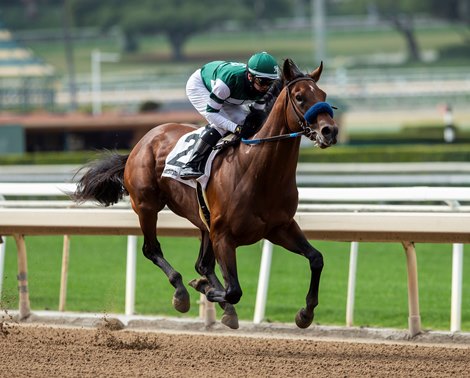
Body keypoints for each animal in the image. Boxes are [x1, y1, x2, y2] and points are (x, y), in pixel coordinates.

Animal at [72, 58, 338, 328]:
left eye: (323, 95)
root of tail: (141, 143)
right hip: (147, 206)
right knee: (152, 250)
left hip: (202, 221)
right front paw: (206, 290)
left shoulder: (279, 227)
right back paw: (181, 293)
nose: (330, 131)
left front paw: (305, 314)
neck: (257, 171)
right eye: (300, 97)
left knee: (202, 264)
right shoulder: (224, 235)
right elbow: (234, 290)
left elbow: (316, 258)